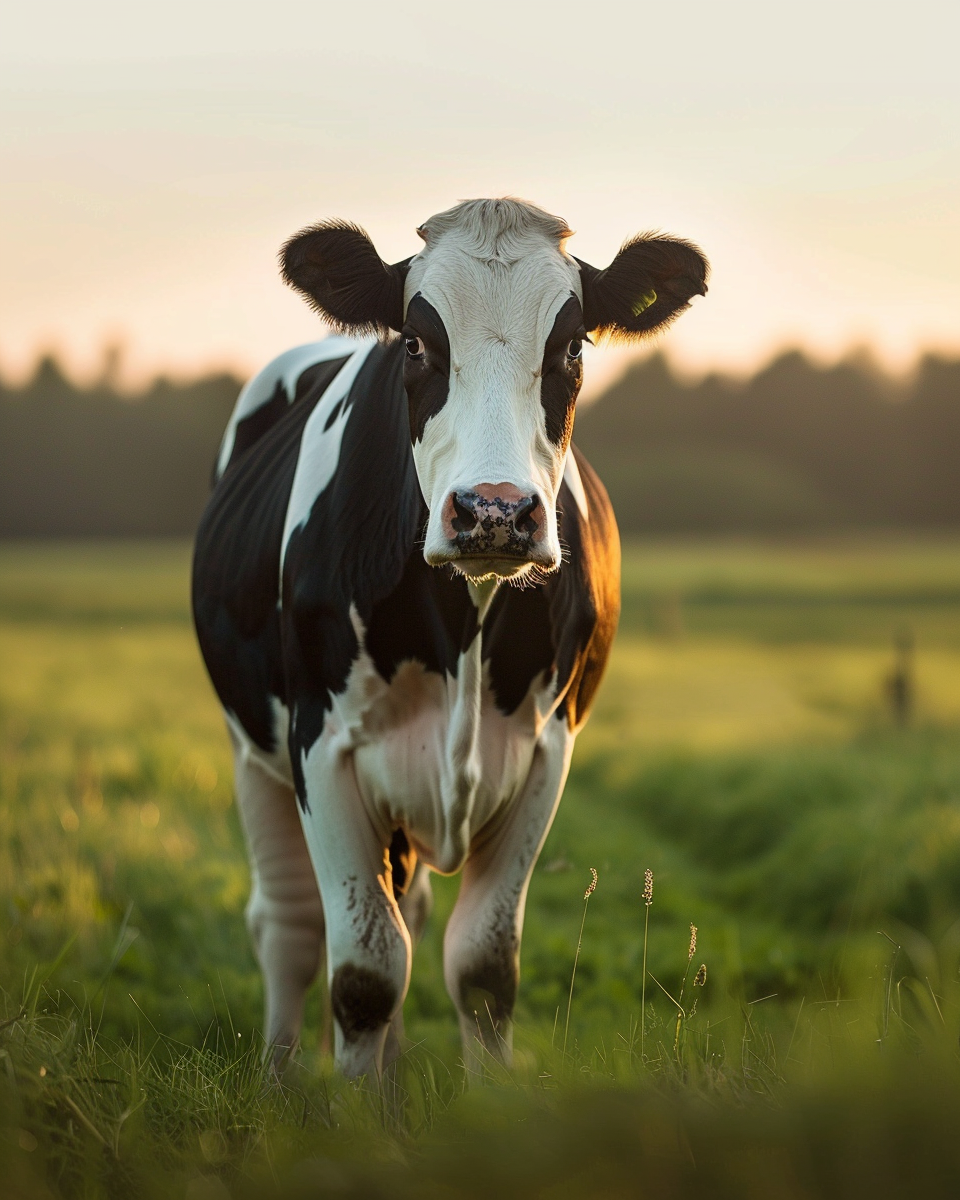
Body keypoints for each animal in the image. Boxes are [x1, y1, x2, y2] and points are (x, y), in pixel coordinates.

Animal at [192, 198, 707, 1082]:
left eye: (572, 347)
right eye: (416, 344)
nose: (494, 510)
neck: (464, 623)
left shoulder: (545, 749)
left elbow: (482, 969)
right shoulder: (320, 744)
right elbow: (364, 973)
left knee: (407, 908)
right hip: (249, 746)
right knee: (288, 926)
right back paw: (280, 1079)